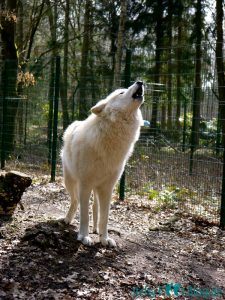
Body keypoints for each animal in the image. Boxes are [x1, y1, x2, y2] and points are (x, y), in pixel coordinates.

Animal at [61, 81, 144, 246]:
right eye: (121, 92)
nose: (140, 82)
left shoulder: (107, 188)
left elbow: (105, 217)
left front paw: (104, 238)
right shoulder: (85, 185)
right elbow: (84, 215)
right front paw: (84, 236)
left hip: (95, 187)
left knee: (95, 206)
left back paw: (95, 230)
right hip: (70, 182)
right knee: (75, 201)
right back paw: (68, 219)